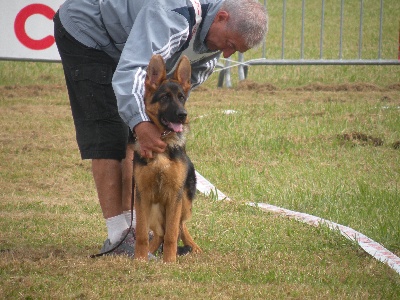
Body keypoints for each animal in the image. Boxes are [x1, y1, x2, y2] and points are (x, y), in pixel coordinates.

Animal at [134, 55, 202, 262]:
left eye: (181, 98)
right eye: (165, 97)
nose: (183, 115)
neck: (163, 143)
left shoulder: (174, 197)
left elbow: (172, 234)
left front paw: (170, 261)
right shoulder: (142, 196)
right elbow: (141, 233)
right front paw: (140, 260)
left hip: (184, 204)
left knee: (180, 227)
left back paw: (194, 248)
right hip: (155, 211)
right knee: (159, 234)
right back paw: (151, 253)